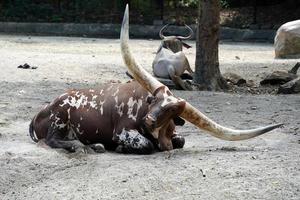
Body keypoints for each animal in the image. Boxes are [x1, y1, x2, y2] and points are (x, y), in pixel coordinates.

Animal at [29, 5, 282, 155]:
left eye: (171, 111)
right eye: (153, 102)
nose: (149, 120)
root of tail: (42, 110)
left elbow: (180, 141)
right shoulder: (123, 131)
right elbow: (146, 144)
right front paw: (121, 147)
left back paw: (93, 145)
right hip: (60, 118)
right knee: (52, 140)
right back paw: (84, 146)